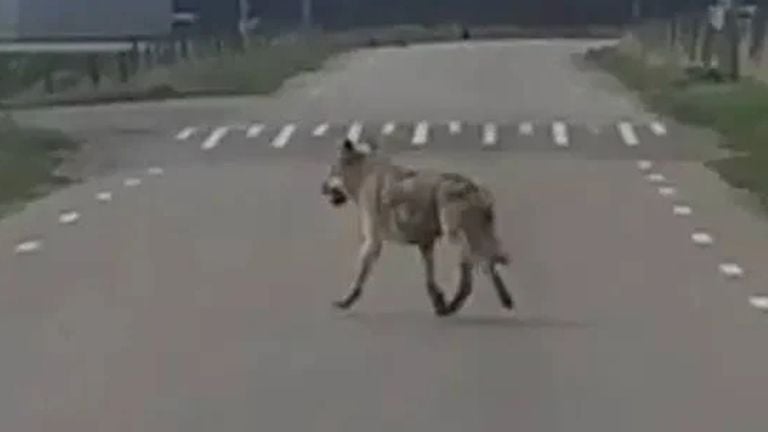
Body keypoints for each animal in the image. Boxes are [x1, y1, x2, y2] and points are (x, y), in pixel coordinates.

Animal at [320, 138, 512, 318]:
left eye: (331, 172)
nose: (322, 188)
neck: (363, 174)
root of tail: (473, 187)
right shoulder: (425, 244)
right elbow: (429, 279)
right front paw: (438, 300)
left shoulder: (372, 241)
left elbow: (360, 276)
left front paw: (347, 300)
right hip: (476, 236)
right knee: (487, 262)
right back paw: (503, 300)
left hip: (455, 236)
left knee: (476, 264)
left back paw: (457, 302)